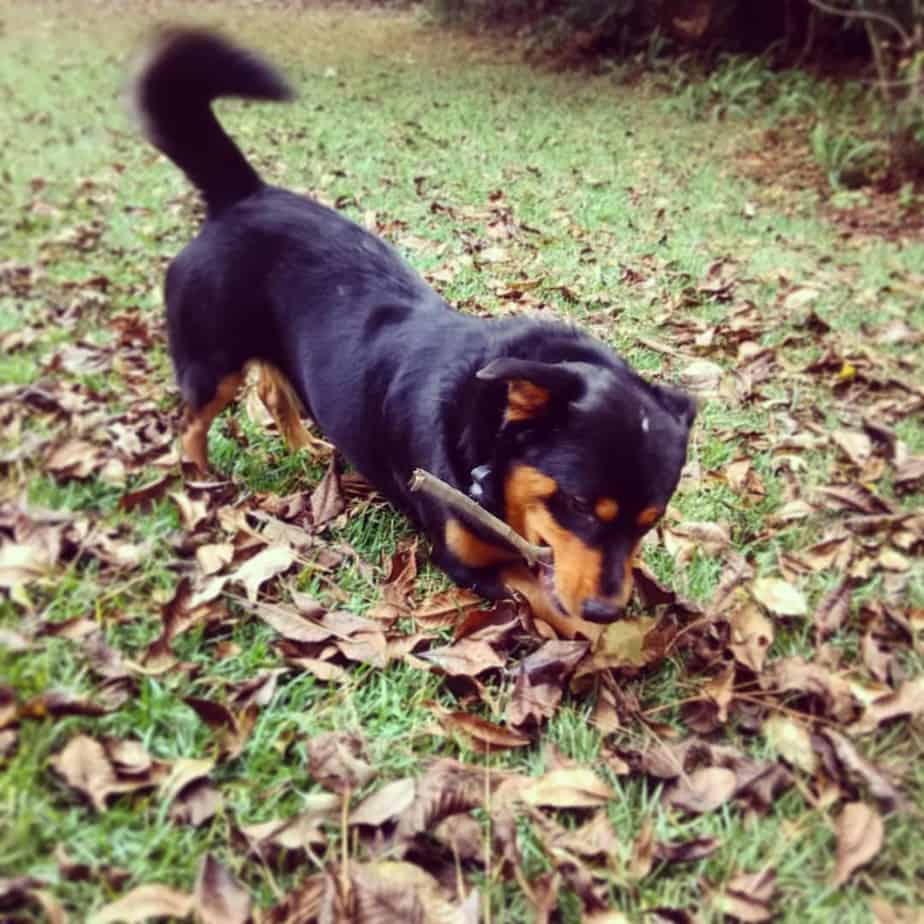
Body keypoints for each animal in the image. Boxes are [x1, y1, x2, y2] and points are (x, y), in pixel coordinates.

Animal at [130, 27, 692, 636]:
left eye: (651, 522)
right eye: (581, 506)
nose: (607, 609)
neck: (489, 443)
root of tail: (241, 196)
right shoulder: (467, 561)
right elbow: (552, 603)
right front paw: (612, 640)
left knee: (275, 390)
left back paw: (303, 446)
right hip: (212, 362)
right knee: (192, 422)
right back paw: (201, 476)